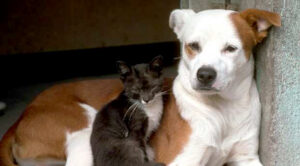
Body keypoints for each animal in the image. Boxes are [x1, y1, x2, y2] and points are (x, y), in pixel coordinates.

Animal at [0, 8, 280, 166]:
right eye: (193, 46)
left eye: (231, 48)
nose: (205, 75)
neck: (223, 110)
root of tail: (24, 114)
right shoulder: (181, 161)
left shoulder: (247, 158)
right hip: (84, 131)